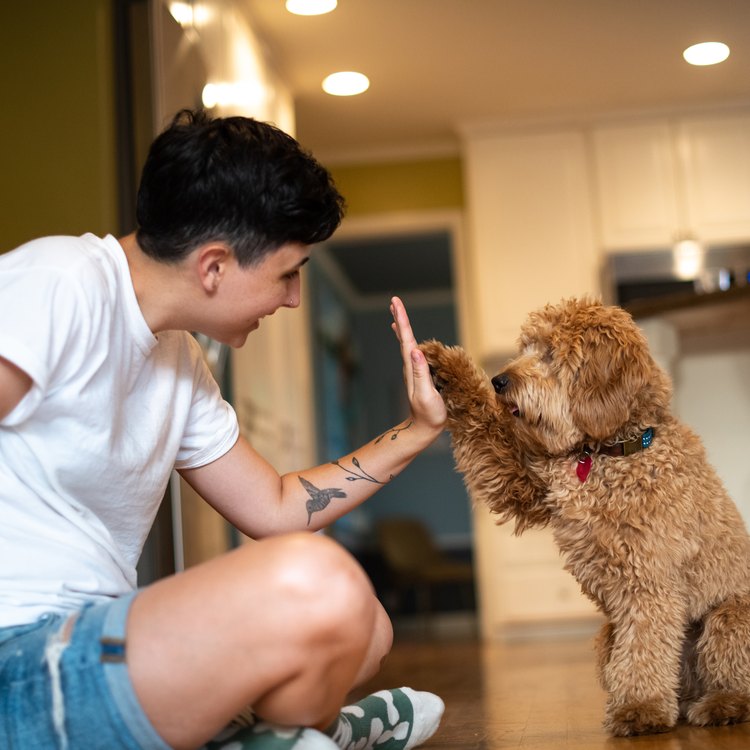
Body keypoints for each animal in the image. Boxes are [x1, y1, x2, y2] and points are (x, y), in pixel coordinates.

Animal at [420, 296, 750, 736]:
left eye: (550, 354)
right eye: (525, 347)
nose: (498, 380)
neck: (609, 452)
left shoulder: (649, 582)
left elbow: (645, 645)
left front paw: (639, 709)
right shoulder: (527, 484)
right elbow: (487, 431)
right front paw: (446, 370)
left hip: (728, 616)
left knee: (733, 676)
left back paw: (721, 704)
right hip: (608, 634)